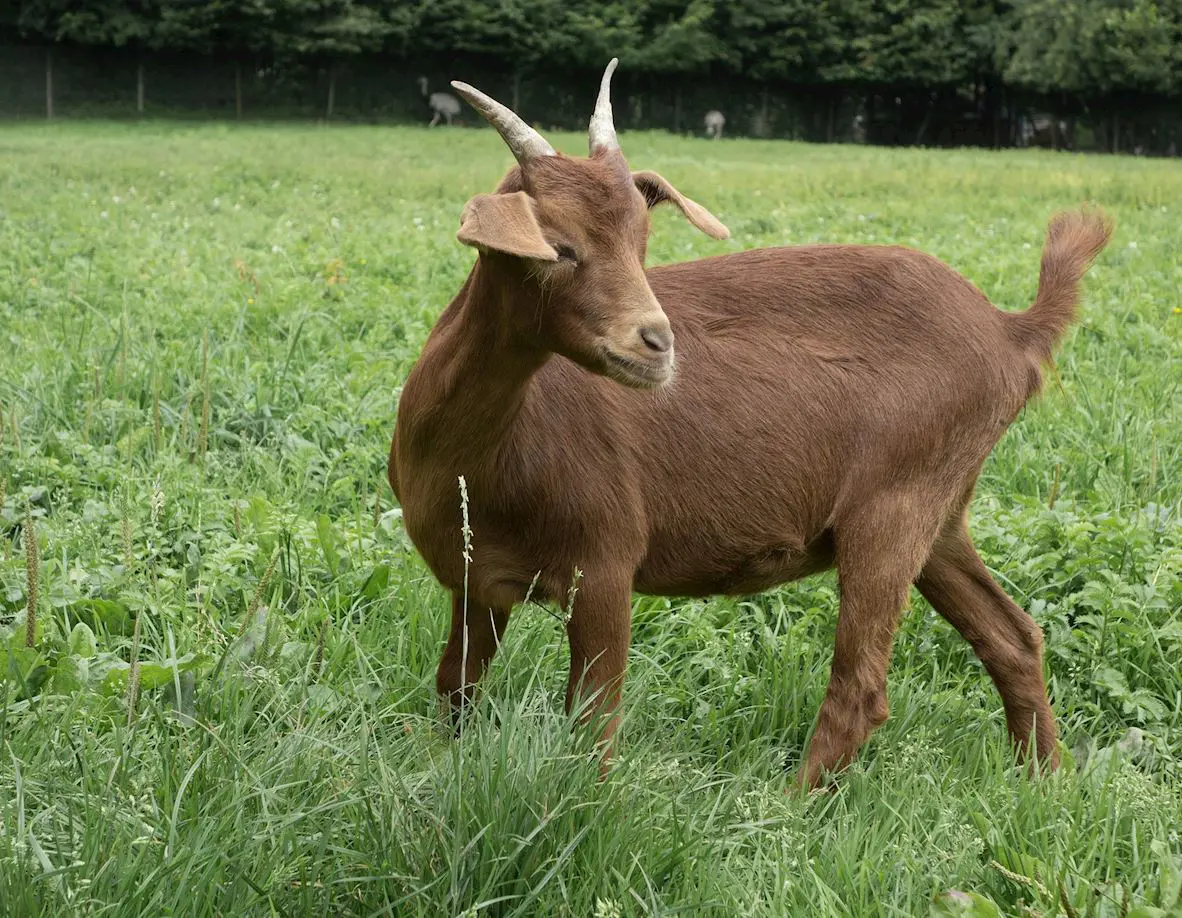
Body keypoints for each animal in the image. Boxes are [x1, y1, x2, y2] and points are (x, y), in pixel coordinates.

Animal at [388, 58, 1112, 789]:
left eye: (642, 243)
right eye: (557, 248)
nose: (658, 343)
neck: (478, 454)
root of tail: (1010, 331)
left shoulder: (605, 560)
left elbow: (593, 723)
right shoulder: (478, 583)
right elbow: (455, 688)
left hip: (896, 502)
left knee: (862, 687)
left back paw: (788, 807)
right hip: (942, 512)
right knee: (1013, 636)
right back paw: (1046, 783)